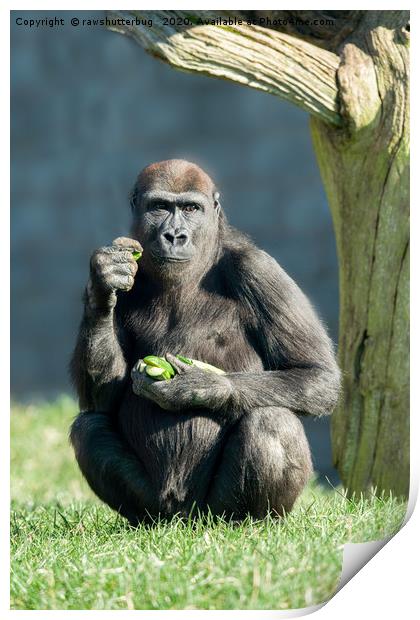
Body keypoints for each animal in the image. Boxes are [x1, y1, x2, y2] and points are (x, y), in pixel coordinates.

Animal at [68, 156, 338, 524]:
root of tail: (184, 519)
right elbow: (103, 397)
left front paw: (201, 387)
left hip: (211, 512)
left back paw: (254, 522)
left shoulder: (258, 269)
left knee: (272, 421)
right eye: (160, 206)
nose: (174, 235)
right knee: (89, 427)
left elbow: (316, 374)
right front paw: (103, 284)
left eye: (191, 208)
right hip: (158, 507)